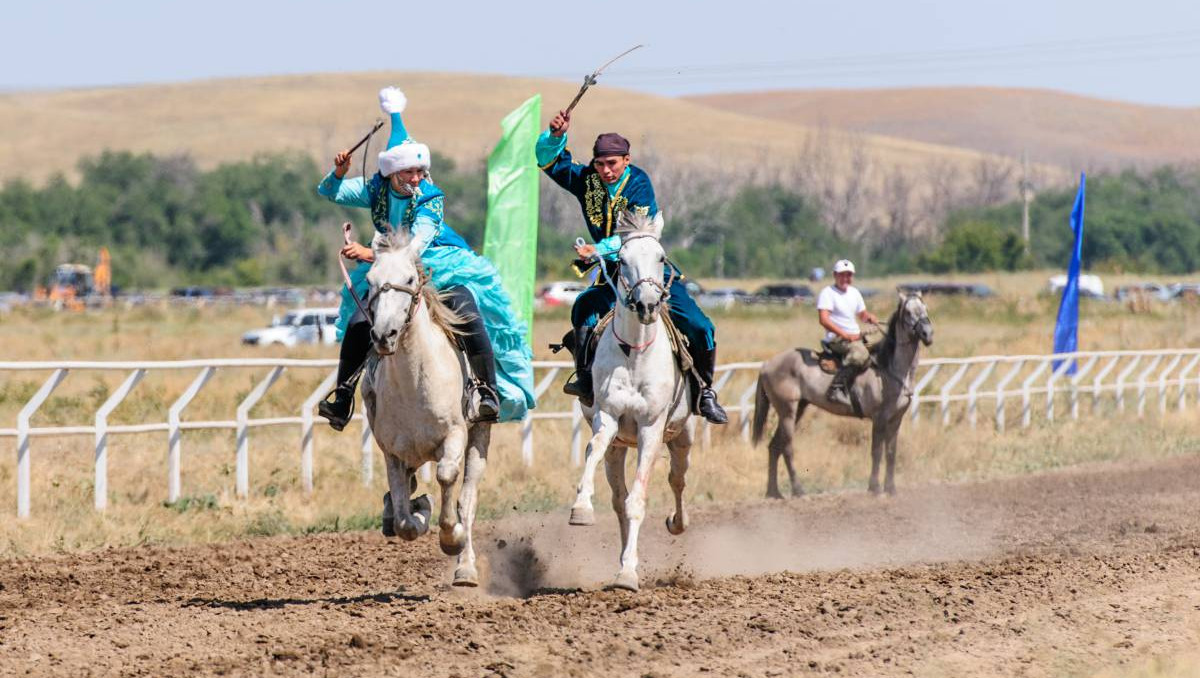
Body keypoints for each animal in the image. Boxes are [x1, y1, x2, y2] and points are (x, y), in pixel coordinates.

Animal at [357, 229, 489, 588]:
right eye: (370, 280)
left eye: (409, 278)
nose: (383, 334)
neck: (415, 380)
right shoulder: (392, 451)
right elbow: (404, 520)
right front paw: (418, 511)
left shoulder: (455, 434)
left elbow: (446, 477)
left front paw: (450, 538)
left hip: (480, 435)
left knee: (467, 500)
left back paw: (466, 569)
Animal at [568, 210, 696, 588]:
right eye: (621, 260)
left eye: (661, 257)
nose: (647, 304)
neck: (636, 352)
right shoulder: (608, 417)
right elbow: (593, 450)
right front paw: (581, 508)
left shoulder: (651, 429)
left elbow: (639, 500)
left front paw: (627, 573)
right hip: (619, 447)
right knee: (617, 497)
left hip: (682, 435)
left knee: (677, 479)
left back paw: (677, 523)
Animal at [748, 291, 936, 496]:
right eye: (908, 312)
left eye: (925, 309)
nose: (927, 334)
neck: (888, 368)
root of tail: (767, 364)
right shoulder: (879, 418)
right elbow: (877, 451)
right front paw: (874, 488)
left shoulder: (896, 419)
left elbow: (891, 453)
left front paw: (891, 489)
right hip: (787, 411)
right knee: (787, 448)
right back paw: (798, 490)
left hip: (797, 409)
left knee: (774, 447)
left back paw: (773, 492)